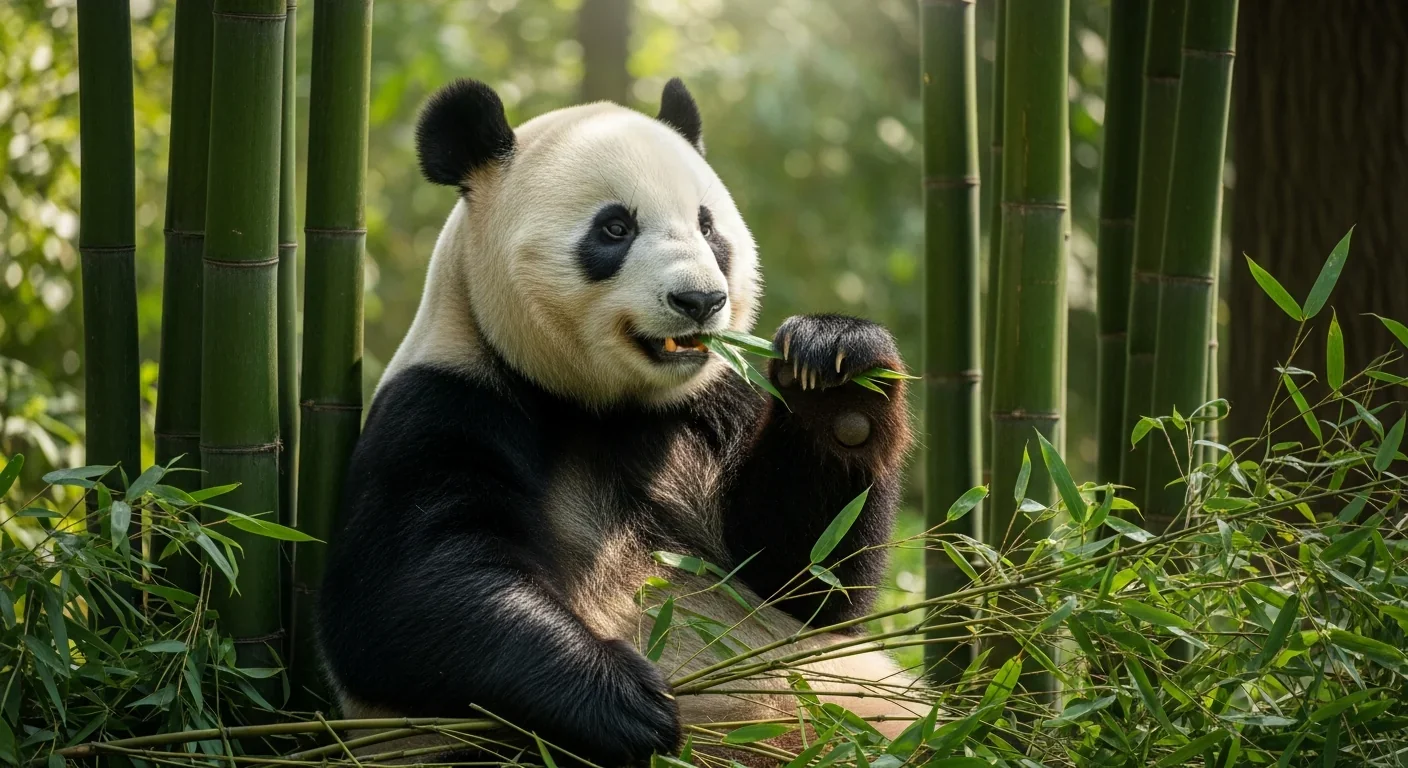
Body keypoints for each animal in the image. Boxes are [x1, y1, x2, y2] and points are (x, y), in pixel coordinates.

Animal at [316, 77, 922, 766]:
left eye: (708, 227)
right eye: (614, 228)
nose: (699, 300)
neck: (607, 404)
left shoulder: (714, 404)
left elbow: (807, 581)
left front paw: (838, 373)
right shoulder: (444, 400)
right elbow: (400, 594)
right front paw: (628, 700)